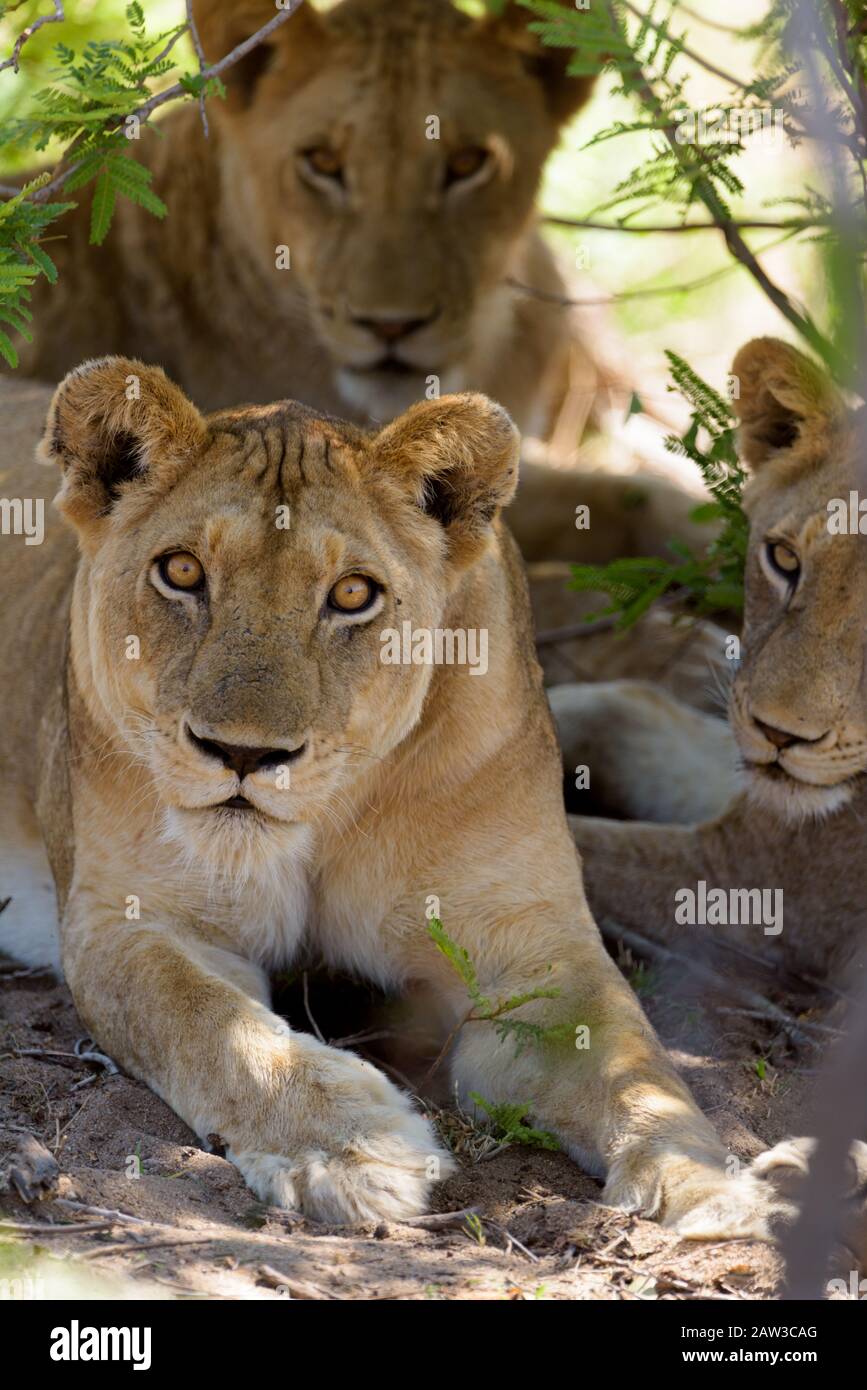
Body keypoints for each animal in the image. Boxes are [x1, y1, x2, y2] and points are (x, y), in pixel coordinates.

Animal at [0, 364, 794, 1234]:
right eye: (180, 573)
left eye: (352, 595)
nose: (244, 754)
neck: (317, 828)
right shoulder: (125, 922)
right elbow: (210, 1024)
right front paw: (352, 1150)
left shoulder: (530, 949)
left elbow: (632, 1067)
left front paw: (709, 1186)